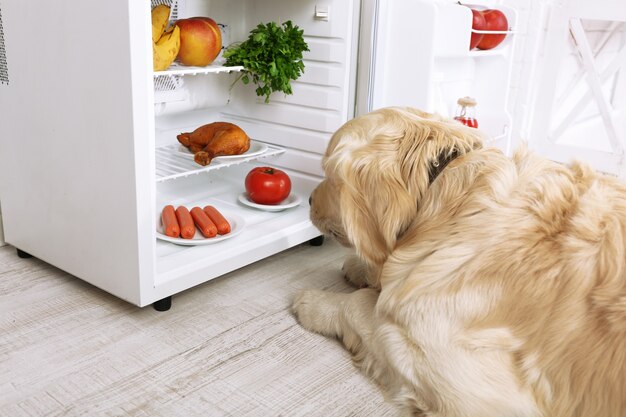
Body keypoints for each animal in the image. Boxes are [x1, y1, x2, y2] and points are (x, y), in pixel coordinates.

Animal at [292, 107, 624, 416]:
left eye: (329, 173)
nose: (308, 200)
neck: (443, 192)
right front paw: (361, 269)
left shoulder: (473, 387)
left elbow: (361, 305)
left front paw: (316, 303)